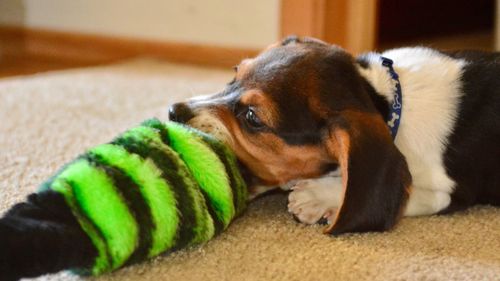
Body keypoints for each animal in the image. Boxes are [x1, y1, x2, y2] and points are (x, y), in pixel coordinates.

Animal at [169, 35, 500, 234]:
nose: (173, 111)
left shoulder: (451, 192)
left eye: (252, 117)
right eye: (233, 76)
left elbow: (410, 194)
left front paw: (319, 196)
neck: (387, 99)